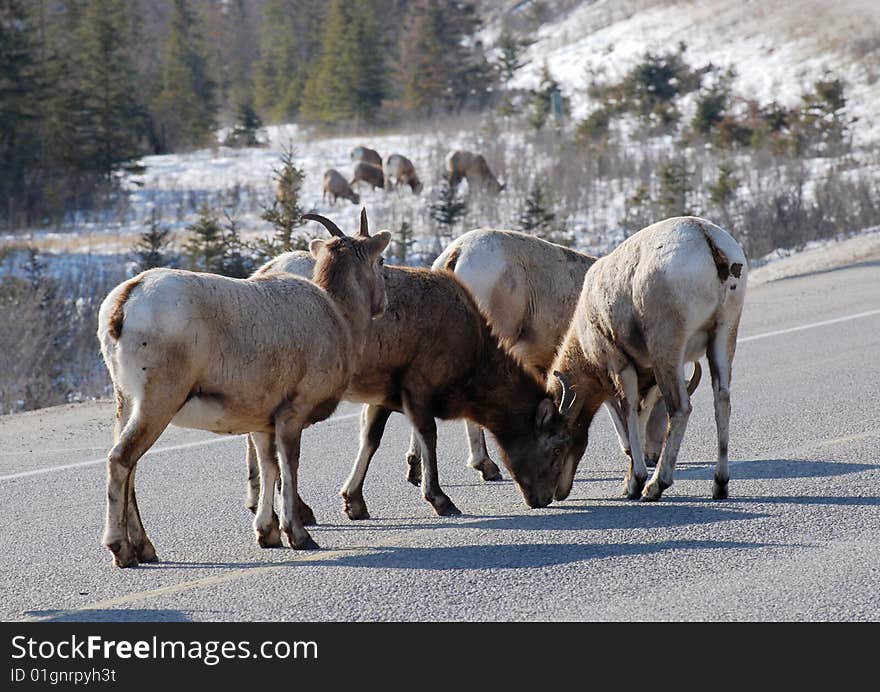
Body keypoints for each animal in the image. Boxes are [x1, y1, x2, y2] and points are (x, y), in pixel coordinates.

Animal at [94, 208, 390, 564]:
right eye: (382, 261)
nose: (385, 304)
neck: (338, 315)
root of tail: (124, 305)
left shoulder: (263, 423)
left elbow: (267, 466)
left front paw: (268, 534)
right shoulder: (292, 414)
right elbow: (288, 467)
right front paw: (299, 536)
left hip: (126, 402)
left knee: (131, 469)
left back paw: (145, 549)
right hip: (158, 403)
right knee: (121, 460)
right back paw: (122, 551)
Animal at [552, 216, 748, 502]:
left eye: (556, 441)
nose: (556, 493)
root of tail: (706, 238)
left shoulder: (621, 366)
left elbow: (630, 412)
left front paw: (634, 482)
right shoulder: (648, 379)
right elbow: (642, 414)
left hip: (667, 352)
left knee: (680, 409)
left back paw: (655, 486)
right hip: (723, 337)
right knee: (722, 401)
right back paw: (719, 485)